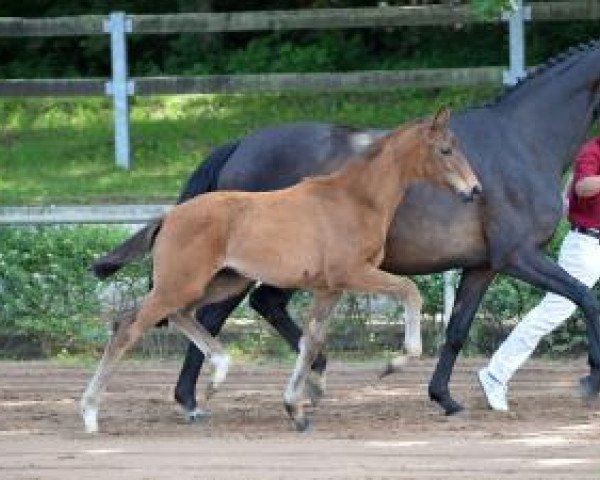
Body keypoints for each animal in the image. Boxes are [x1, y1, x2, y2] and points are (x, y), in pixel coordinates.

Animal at [82, 108, 480, 432]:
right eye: (445, 150)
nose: (474, 189)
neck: (354, 199)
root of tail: (168, 216)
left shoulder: (329, 287)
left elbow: (311, 341)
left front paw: (296, 409)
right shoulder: (353, 273)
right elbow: (410, 290)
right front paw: (392, 364)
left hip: (223, 281)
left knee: (180, 315)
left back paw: (216, 375)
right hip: (180, 283)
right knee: (128, 326)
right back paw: (90, 413)